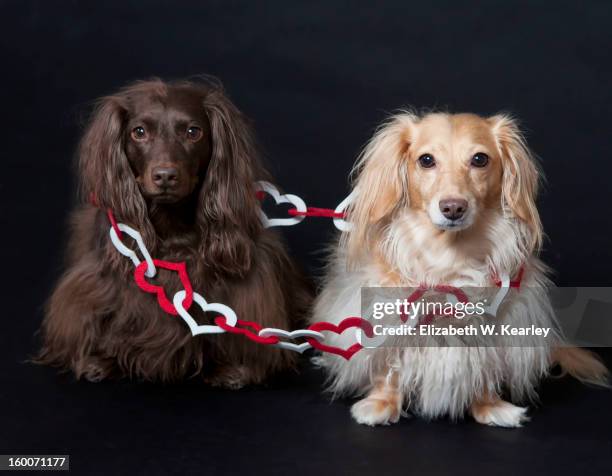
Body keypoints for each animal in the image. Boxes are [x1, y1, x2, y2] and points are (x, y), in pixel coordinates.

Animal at [39, 78, 310, 388]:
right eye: (139, 132)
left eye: (193, 132)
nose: (166, 176)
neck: (171, 227)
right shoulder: (93, 288)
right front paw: (98, 361)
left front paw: (235, 368)